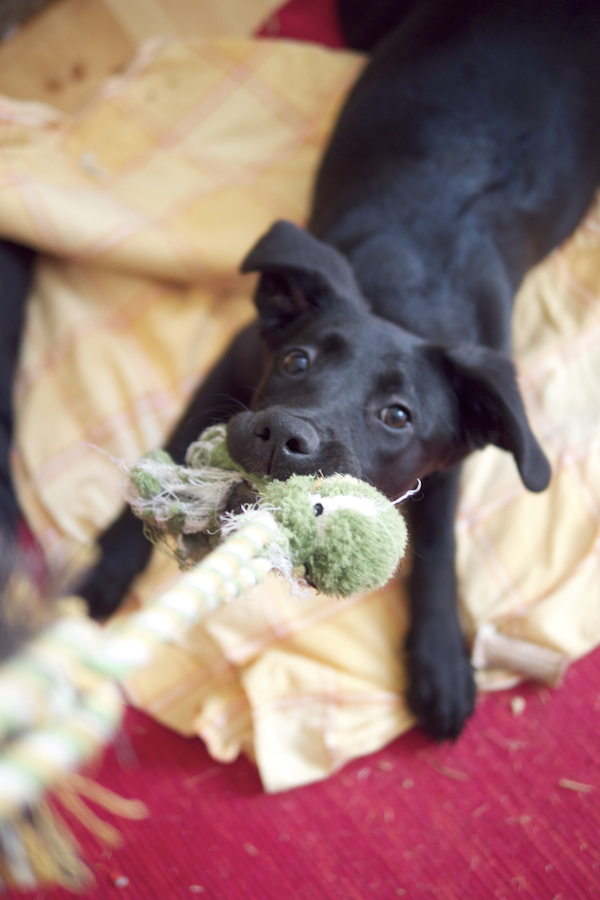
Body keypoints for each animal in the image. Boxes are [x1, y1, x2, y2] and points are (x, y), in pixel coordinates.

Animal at [73, 0, 600, 739]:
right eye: (296, 360)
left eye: (398, 416)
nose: (280, 436)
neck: (401, 297)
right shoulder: (235, 357)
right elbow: (165, 457)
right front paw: (107, 571)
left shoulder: (452, 460)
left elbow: (439, 545)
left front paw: (440, 656)